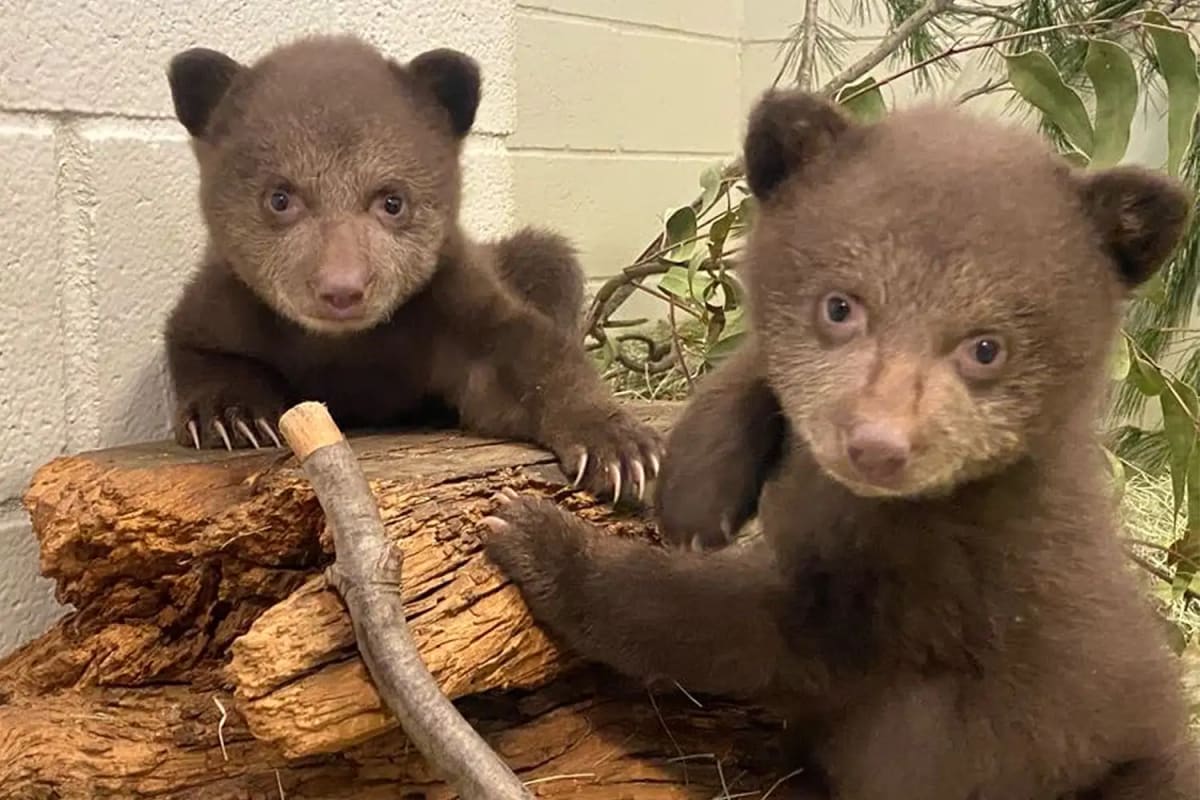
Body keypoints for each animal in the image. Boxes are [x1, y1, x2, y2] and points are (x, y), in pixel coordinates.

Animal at [161, 34, 661, 503]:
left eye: (392, 200)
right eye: (280, 197)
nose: (342, 289)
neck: (343, 345)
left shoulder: (445, 304)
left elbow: (524, 353)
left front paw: (619, 447)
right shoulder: (231, 298)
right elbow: (197, 341)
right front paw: (231, 415)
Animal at [480, 89, 1200, 797]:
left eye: (986, 347)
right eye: (839, 306)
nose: (877, 446)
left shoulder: (937, 588)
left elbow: (728, 623)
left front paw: (544, 541)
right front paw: (695, 486)